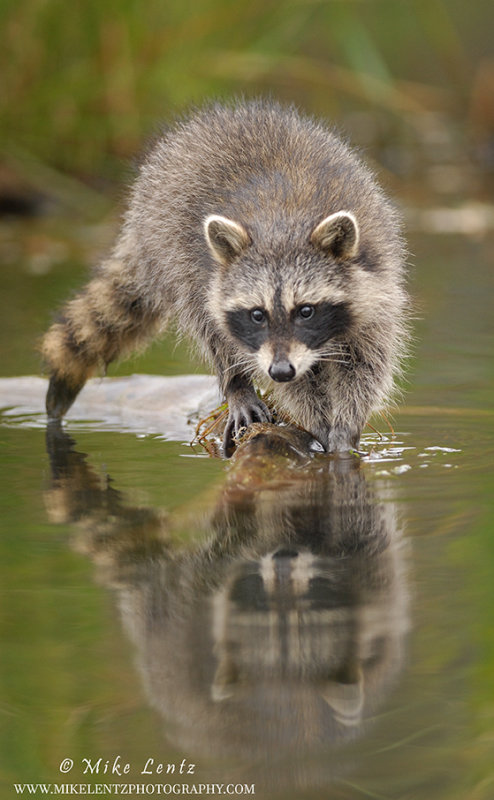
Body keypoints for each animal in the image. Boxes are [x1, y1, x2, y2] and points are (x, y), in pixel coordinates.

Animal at [41, 98, 410, 456]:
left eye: (306, 311)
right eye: (257, 314)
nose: (280, 371)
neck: (282, 227)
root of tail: (229, 113)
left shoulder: (376, 287)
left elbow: (365, 365)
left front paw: (346, 427)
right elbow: (286, 375)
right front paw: (315, 420)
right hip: (172, 252)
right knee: (209, 326)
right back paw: (236, 384)